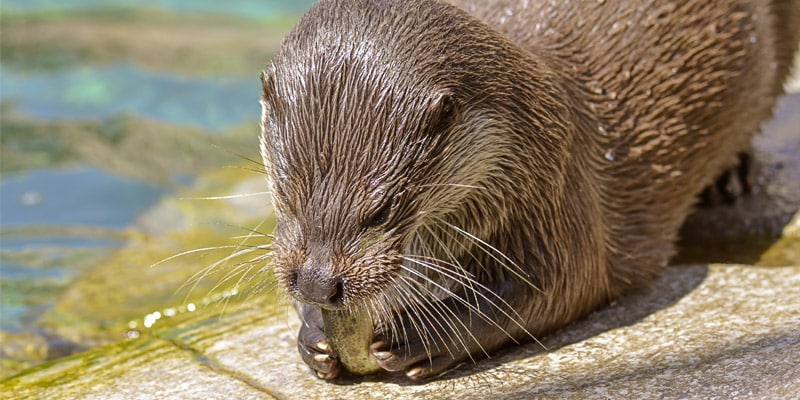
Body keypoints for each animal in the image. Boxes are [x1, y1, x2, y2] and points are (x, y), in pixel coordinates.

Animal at [258, 0, 800, 382]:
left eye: (380, 210)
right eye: (286, 194)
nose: (318, 283)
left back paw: (730, 177)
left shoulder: (558, 191)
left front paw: (426, 334)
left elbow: (559, 286)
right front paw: (314, 333)